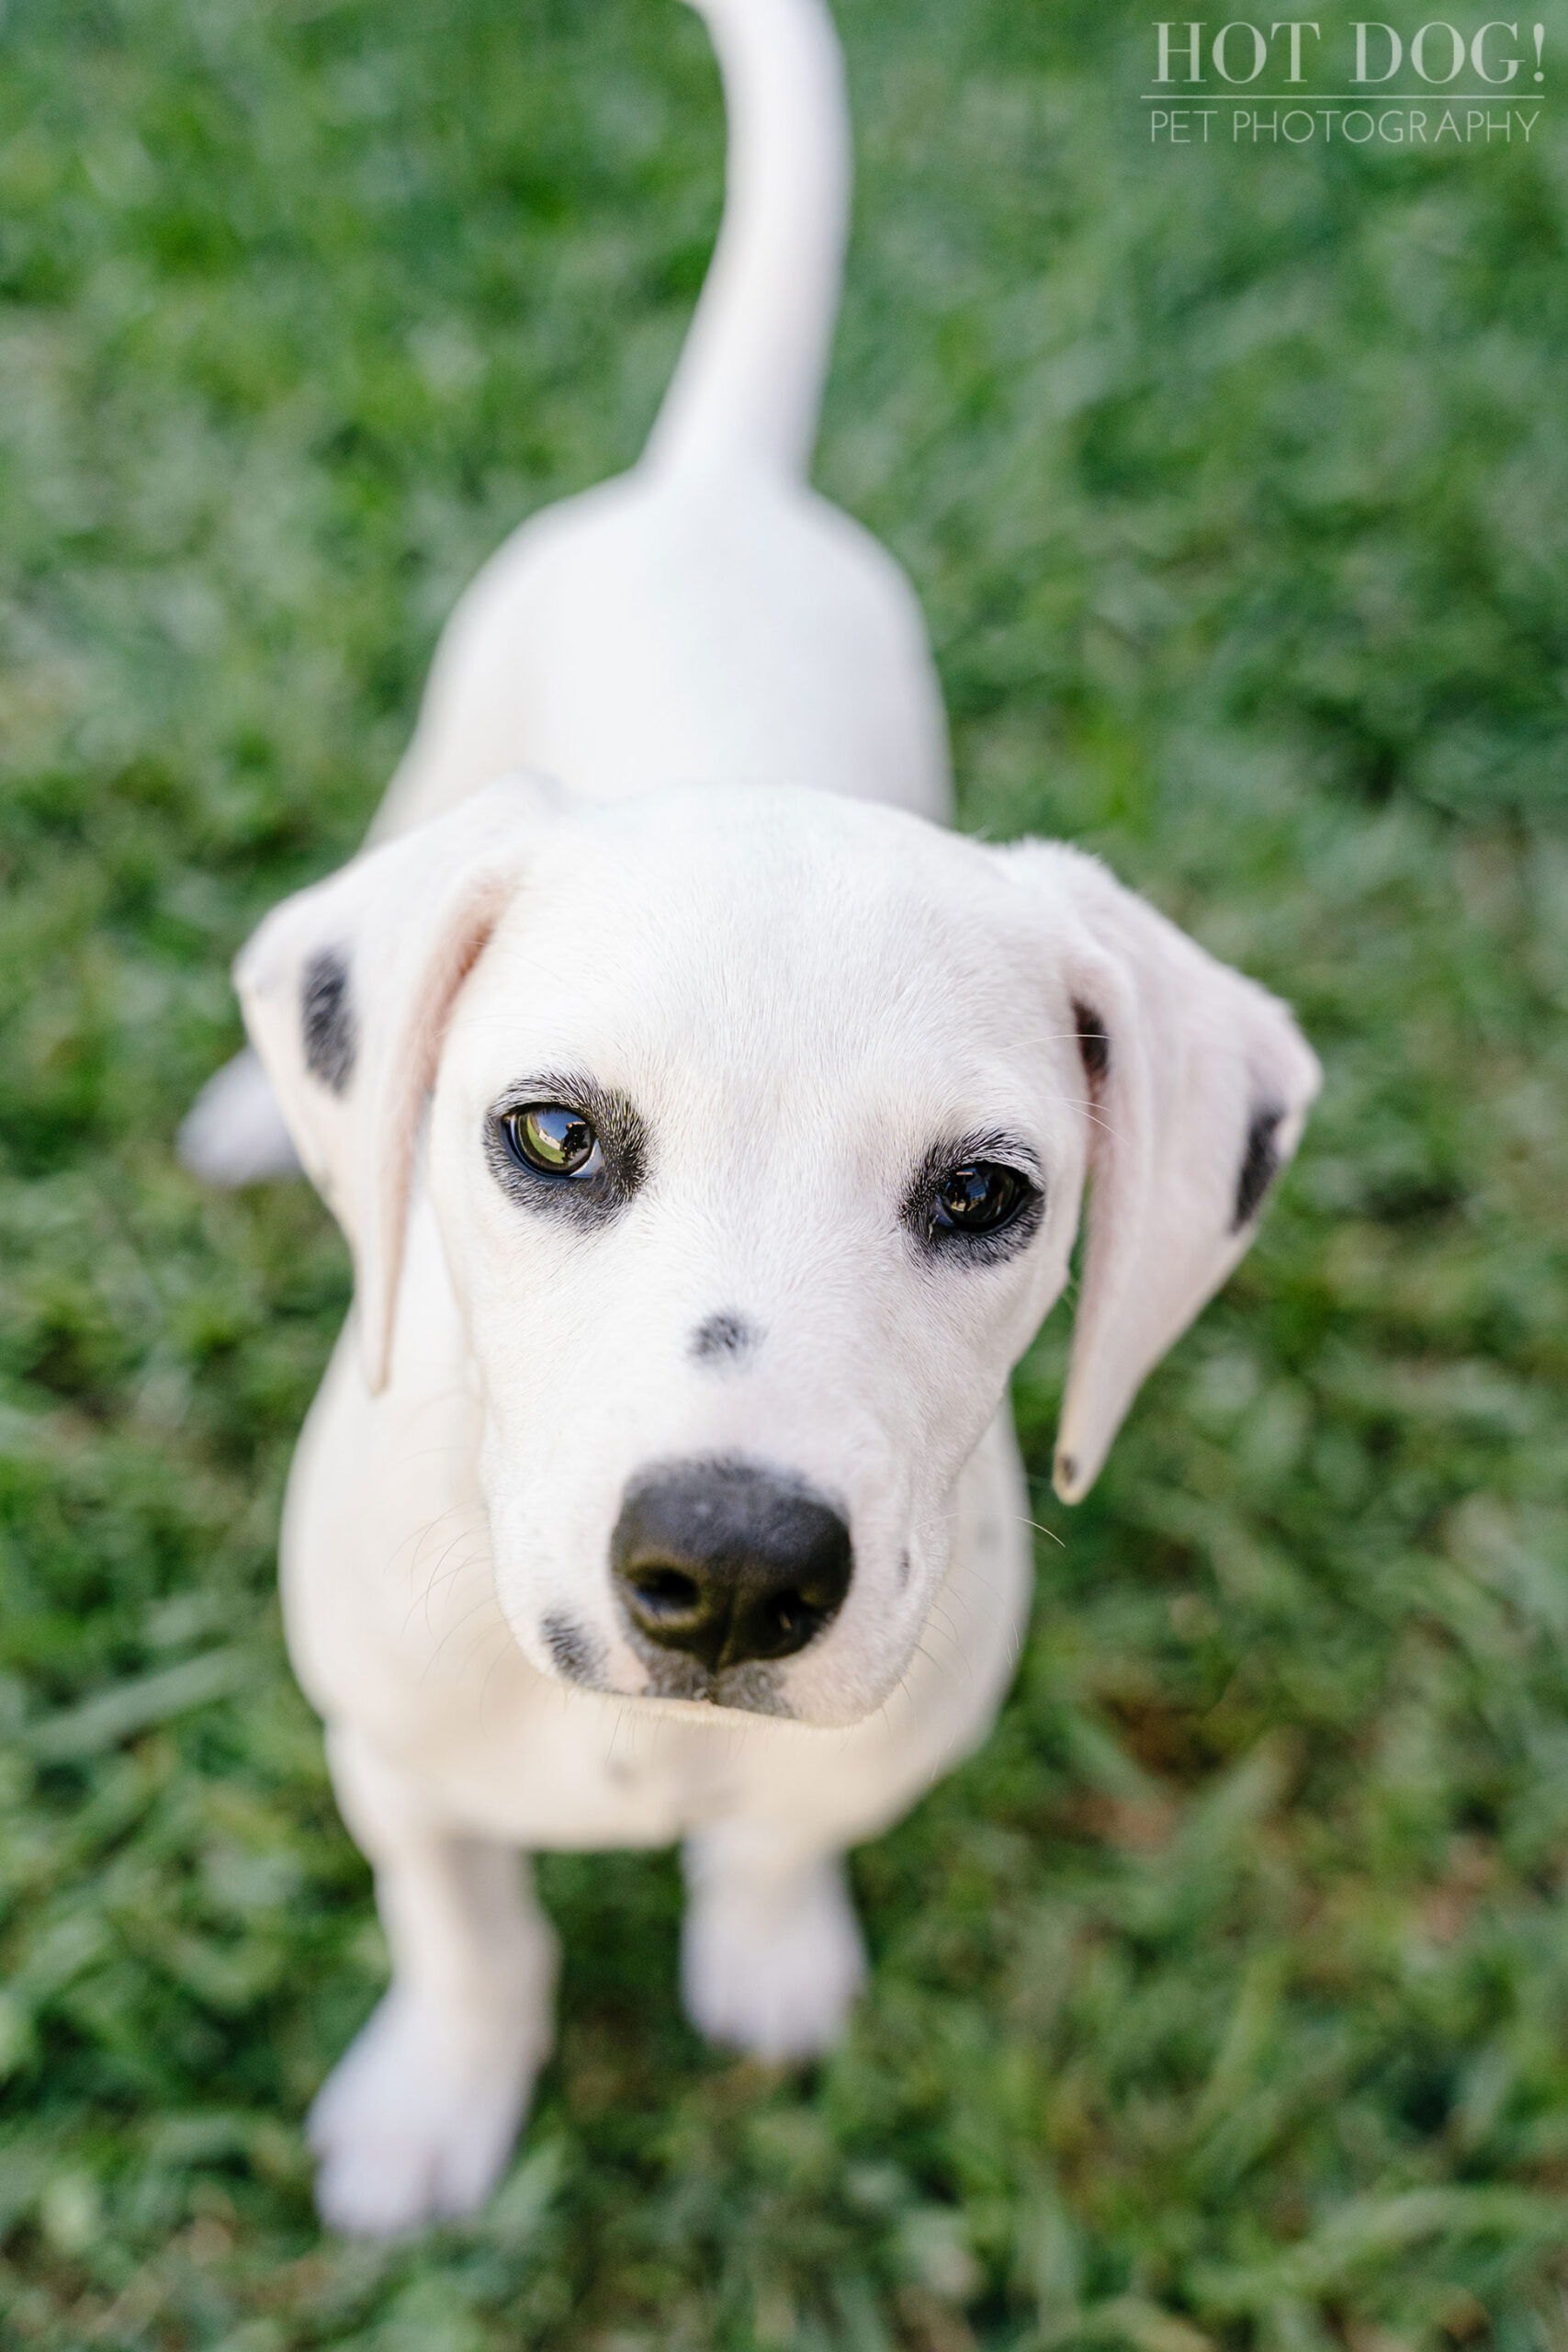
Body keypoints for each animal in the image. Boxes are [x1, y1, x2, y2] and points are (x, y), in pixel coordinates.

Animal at [186, 0, 1325, 2239]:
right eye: (550, 1139)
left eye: (982, 1196)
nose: (725, 1574)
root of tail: (715, 487)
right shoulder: (386, 1746)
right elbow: (467, 1922)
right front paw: (433, 2105)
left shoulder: (890, 1718)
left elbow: (787, 1833)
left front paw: (769, 1959)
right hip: (449, 734)